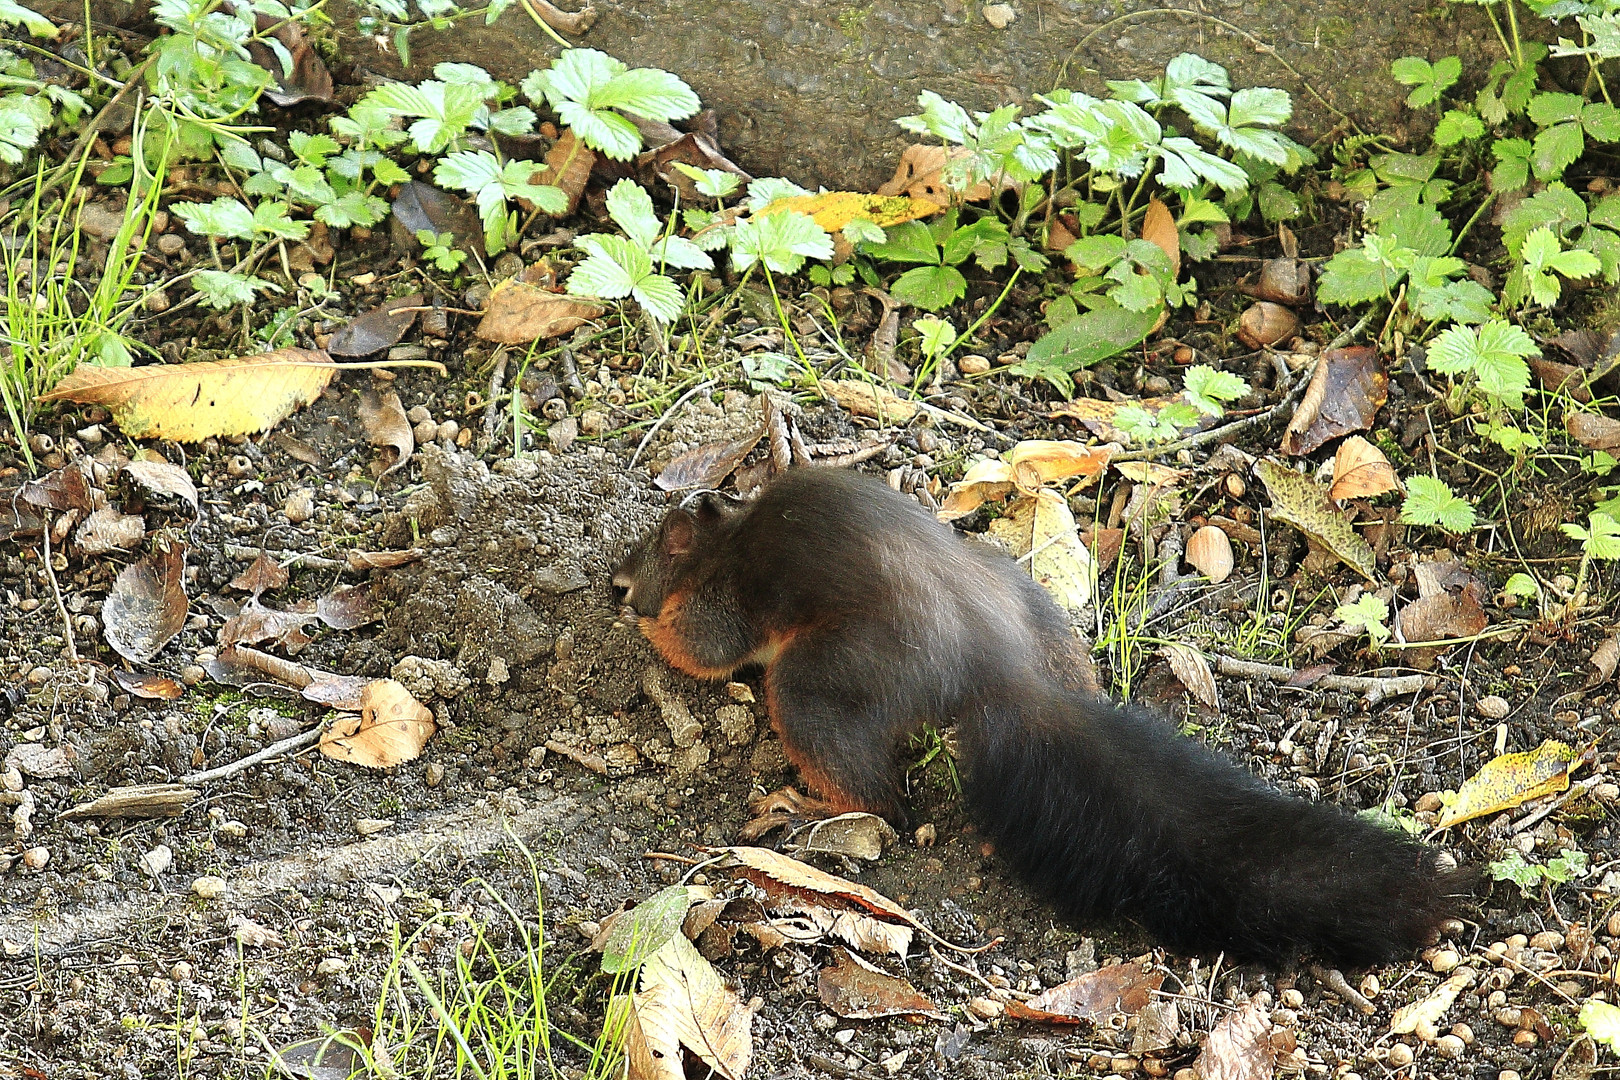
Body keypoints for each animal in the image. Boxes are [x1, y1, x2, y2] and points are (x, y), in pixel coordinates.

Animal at [609, 469, 1470, 965]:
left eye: (639, 561)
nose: (615, 584)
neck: (723, 540)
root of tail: (1003, 673)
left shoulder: (726, 603)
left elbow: (703, 648)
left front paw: (642, 627)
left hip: (821, 683)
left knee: (880, 798)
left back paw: (805, 807)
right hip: (1034, 611)